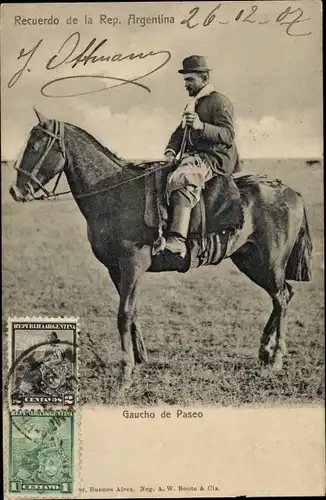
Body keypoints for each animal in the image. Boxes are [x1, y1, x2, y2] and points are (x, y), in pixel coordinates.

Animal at [8, 111, 312, 388]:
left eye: (35, 146)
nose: (15, 190)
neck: (112, 192)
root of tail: (292, 192)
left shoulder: (132, 265)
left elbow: (123, 315)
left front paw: (125, 373)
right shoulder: (116, 270)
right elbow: (131, 313)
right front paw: (139, 358)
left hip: (269, 262)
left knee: (281, 298)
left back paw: (276, 358)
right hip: (249, 259)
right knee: (284, 294)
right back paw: (265, 350)